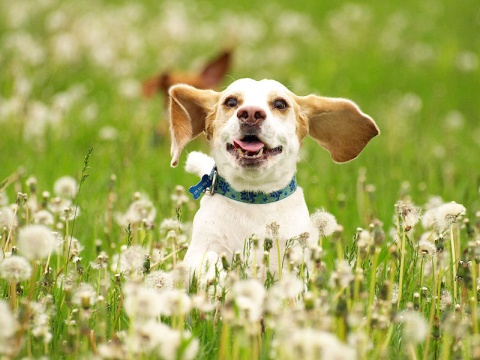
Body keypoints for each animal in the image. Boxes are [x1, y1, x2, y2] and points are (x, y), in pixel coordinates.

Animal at [169, 78, 378, 276]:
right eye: (231, 101)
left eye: (280, 104)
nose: (251, 113)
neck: (254, 201)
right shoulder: (202, 246)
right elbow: (209, 259)